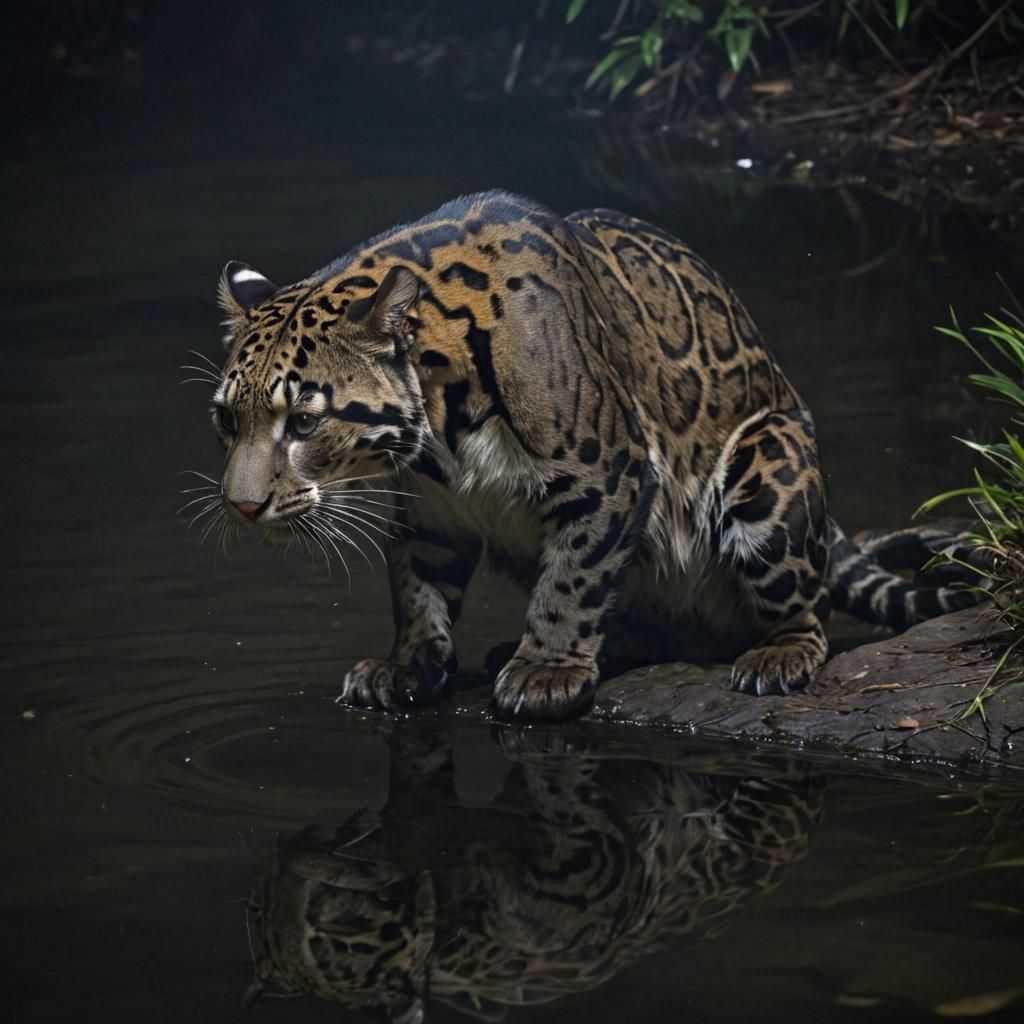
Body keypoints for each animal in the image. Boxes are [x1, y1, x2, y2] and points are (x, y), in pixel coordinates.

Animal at [209, 189, 975, 721]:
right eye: (226, 417)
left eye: (304, 421)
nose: (242, 507)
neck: (440, 425)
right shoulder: (433, 511)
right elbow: (416, 587)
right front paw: (409, 665)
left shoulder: (609, 475)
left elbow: (574, 581)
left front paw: (547, 671)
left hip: (767, 466)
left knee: (803, 610)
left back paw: (775, 656)